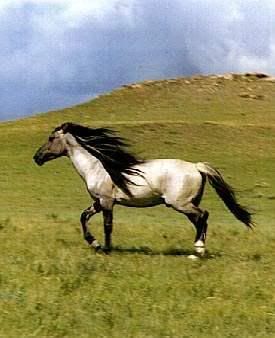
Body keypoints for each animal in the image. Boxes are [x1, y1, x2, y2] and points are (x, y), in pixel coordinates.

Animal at [33, 121, 254, 256]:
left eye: (51, 138)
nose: (37, 158)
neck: (97, 167)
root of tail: (196, 166)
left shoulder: (107, 201)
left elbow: (108, 225)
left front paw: (106, 249)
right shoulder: (98, 202)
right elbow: (83, 217)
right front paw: (94, 244)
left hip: (180, 203)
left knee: (204, 215)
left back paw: (198, 250)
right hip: (188, 204)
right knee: (200, 221)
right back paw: (198, 251)